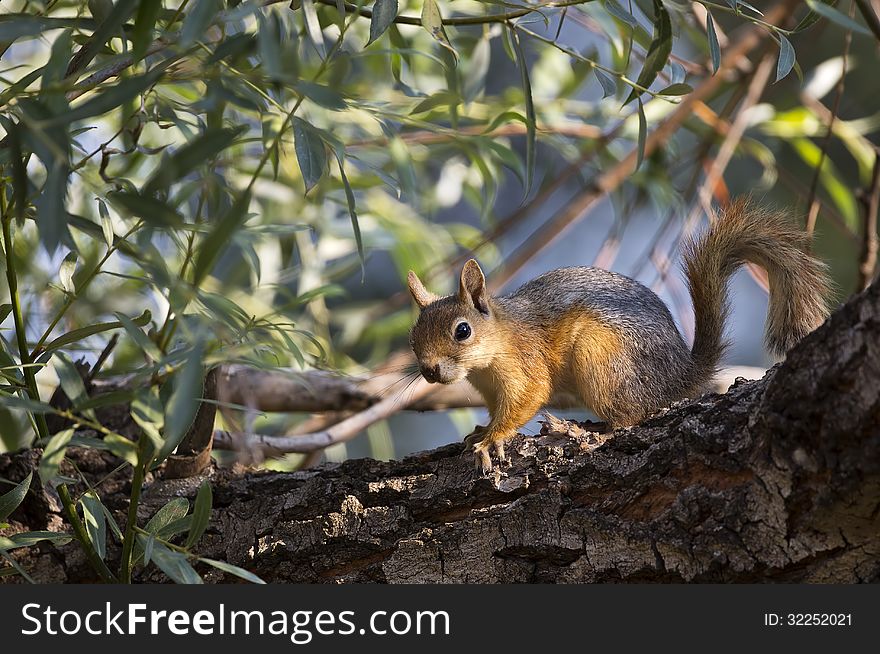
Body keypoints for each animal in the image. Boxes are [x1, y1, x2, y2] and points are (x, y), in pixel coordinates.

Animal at [406, 197, 832, 474]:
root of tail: (682, 374)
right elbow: (498, 408)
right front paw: (481, 430)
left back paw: (583, 429)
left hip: (600, 357)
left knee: (628, 418)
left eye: (462, 330)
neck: (491, 352)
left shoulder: (526, 364)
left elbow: (527, 398)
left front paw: (492, 439)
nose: (429, 370)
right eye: (412, 336)